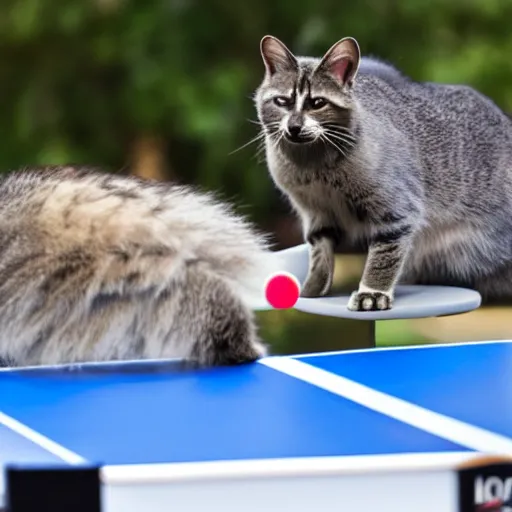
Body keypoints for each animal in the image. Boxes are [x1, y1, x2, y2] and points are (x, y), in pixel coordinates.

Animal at [256, 36, 512, 312]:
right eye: (282, 102)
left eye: (317, 103)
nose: (294, 127)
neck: (313, 167)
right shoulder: (316, 214)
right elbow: (320, 255)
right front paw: (312, 289)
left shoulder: (397, 213)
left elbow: (383, 258)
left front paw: (372, 293)